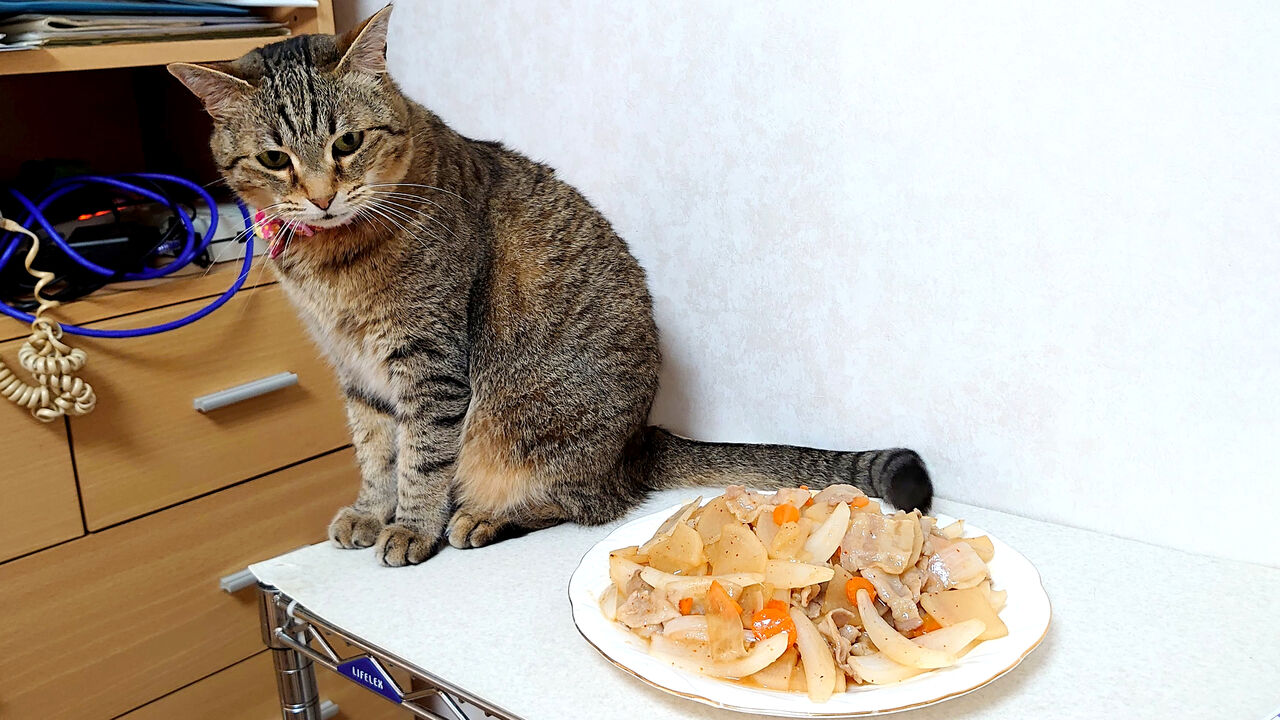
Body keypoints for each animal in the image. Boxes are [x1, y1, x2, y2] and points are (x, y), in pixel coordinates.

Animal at [169, 6, 933, 567]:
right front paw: (368, 509)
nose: (323, 197)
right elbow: (375, 450)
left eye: (348, 143)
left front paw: (410, 524)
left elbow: (421, 457)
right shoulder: (355, 368)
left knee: (584, 504)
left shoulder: (429, 362)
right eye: (275, 159)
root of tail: (639, 443)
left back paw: (481, 518)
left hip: (530, 427)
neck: (329, 263)